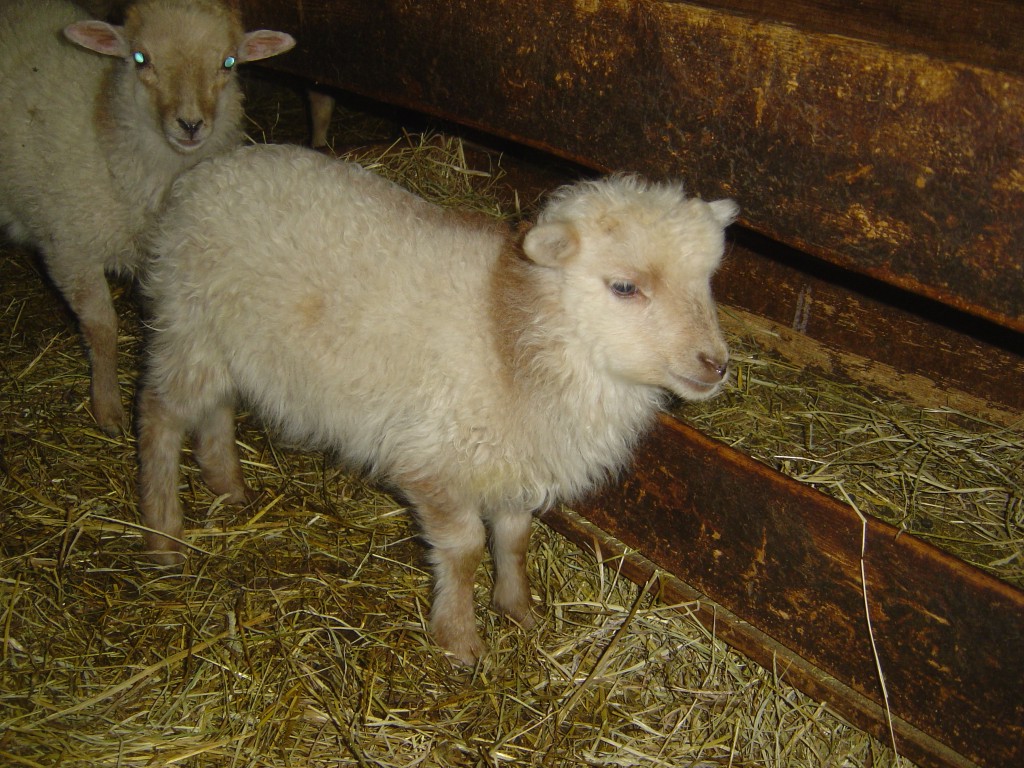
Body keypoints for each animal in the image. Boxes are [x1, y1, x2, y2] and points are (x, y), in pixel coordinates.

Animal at [0, 0, 295, 434]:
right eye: (141, 59)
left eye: (228, 62)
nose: (190, 125)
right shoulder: (69, 249)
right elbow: (102, 328)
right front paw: (107, 408)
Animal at [137, 143, 738, 664]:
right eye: (624, 287)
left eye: (707, 280)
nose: (715, 364)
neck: (511, 333)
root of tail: (208, 171)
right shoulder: (436, 459)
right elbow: (466, 548)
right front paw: (459, 639)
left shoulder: (516, 459)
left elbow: (515, 539)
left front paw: (518, 610)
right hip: (189, 322)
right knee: (160, 414)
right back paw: (164, 533)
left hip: (225, 343)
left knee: (215, 407)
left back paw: (227, 484)